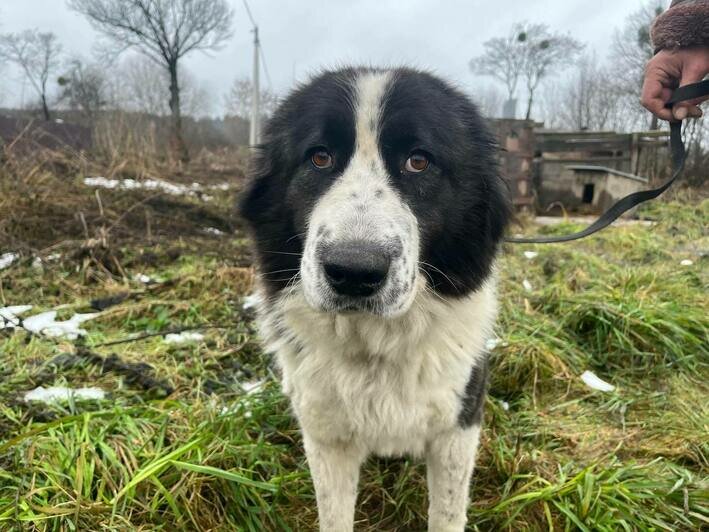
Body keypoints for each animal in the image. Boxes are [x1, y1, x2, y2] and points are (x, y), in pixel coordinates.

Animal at [238, 67, 508, 532]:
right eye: (319, 157)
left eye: (419, 161)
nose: (353, 272)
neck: (374, 347)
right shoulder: (327, 436)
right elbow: (334, 514)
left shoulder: (457, 426)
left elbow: (447, 512)